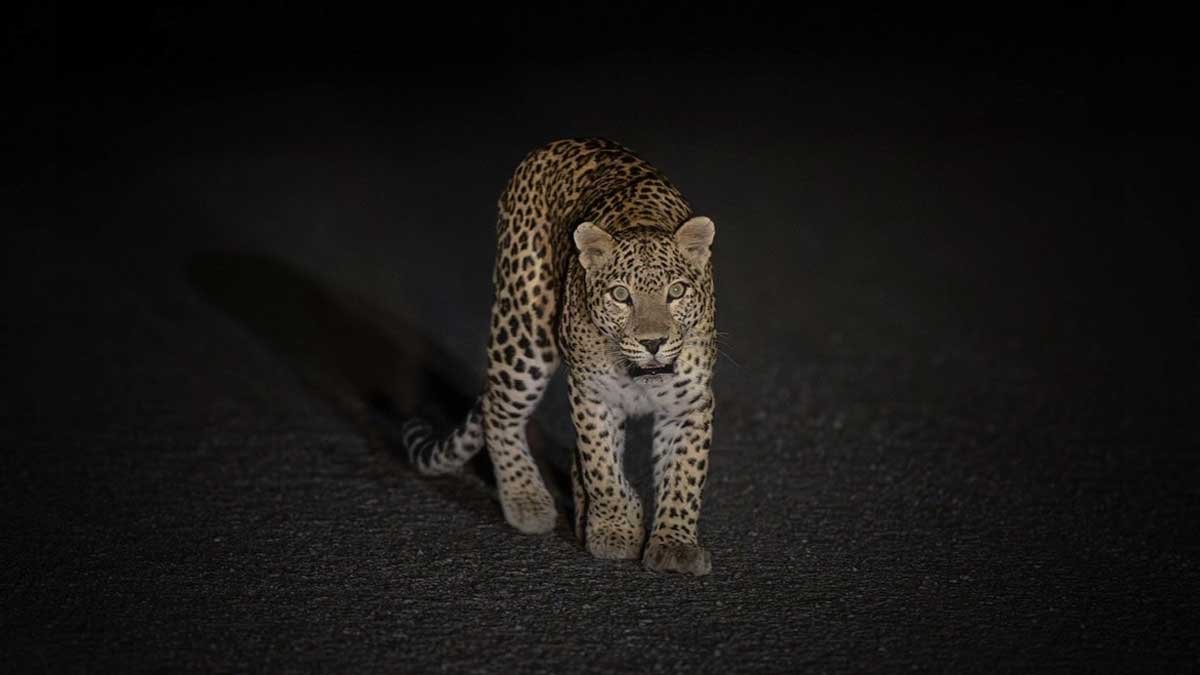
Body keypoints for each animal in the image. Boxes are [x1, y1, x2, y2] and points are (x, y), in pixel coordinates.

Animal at [401, 138, 717, 575]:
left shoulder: (689, 402)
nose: (653, 342)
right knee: (499, 410)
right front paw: (615, 528)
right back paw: (526, 500)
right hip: (525, 328)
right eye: (621, 295)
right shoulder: (592, 392)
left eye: (676, 292)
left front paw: (674, 544)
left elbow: (684, 475)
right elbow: (601, 464)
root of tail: (558, 145)